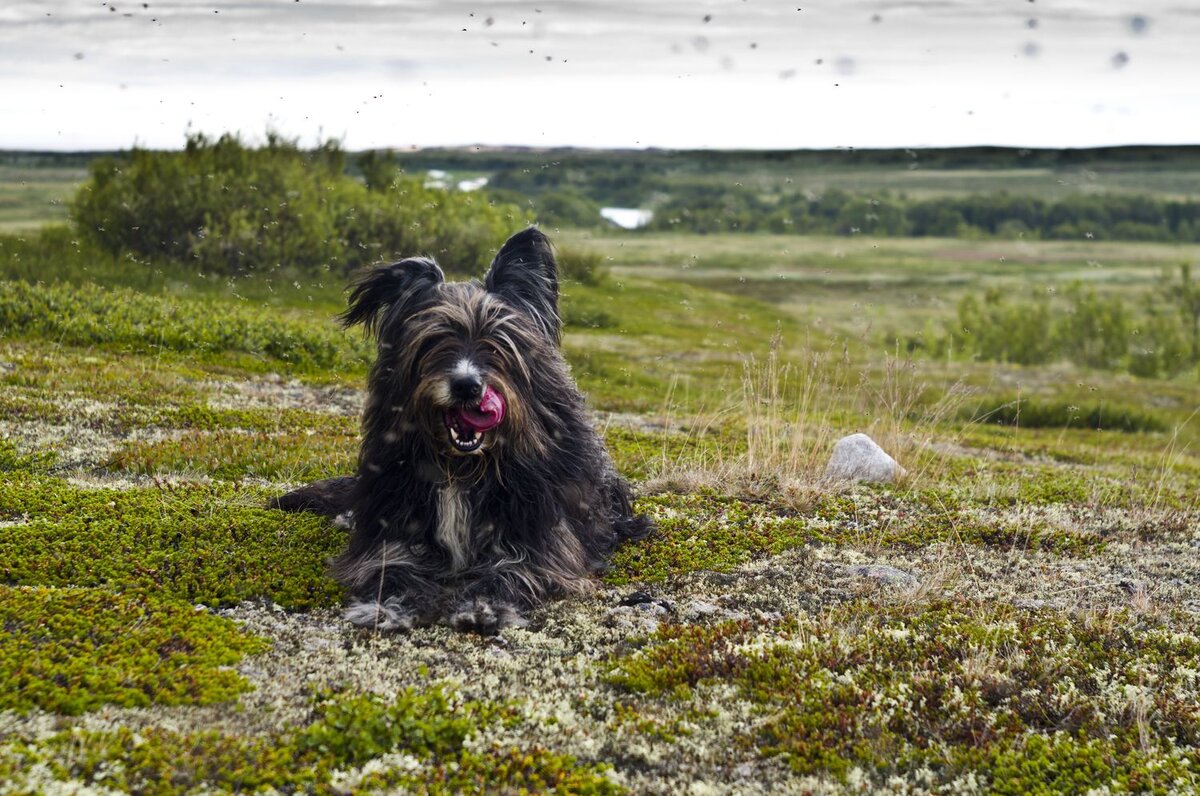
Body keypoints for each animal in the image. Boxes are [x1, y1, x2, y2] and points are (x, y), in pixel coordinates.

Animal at [273, 229, 652, 633]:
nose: (467, 385)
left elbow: (514, 570)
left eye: (498, 342)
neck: (462, 466)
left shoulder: (546, 542)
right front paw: (387, 605)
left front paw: (483, 604)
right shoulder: (390, 528)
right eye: (434, 340)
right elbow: (390, 565)